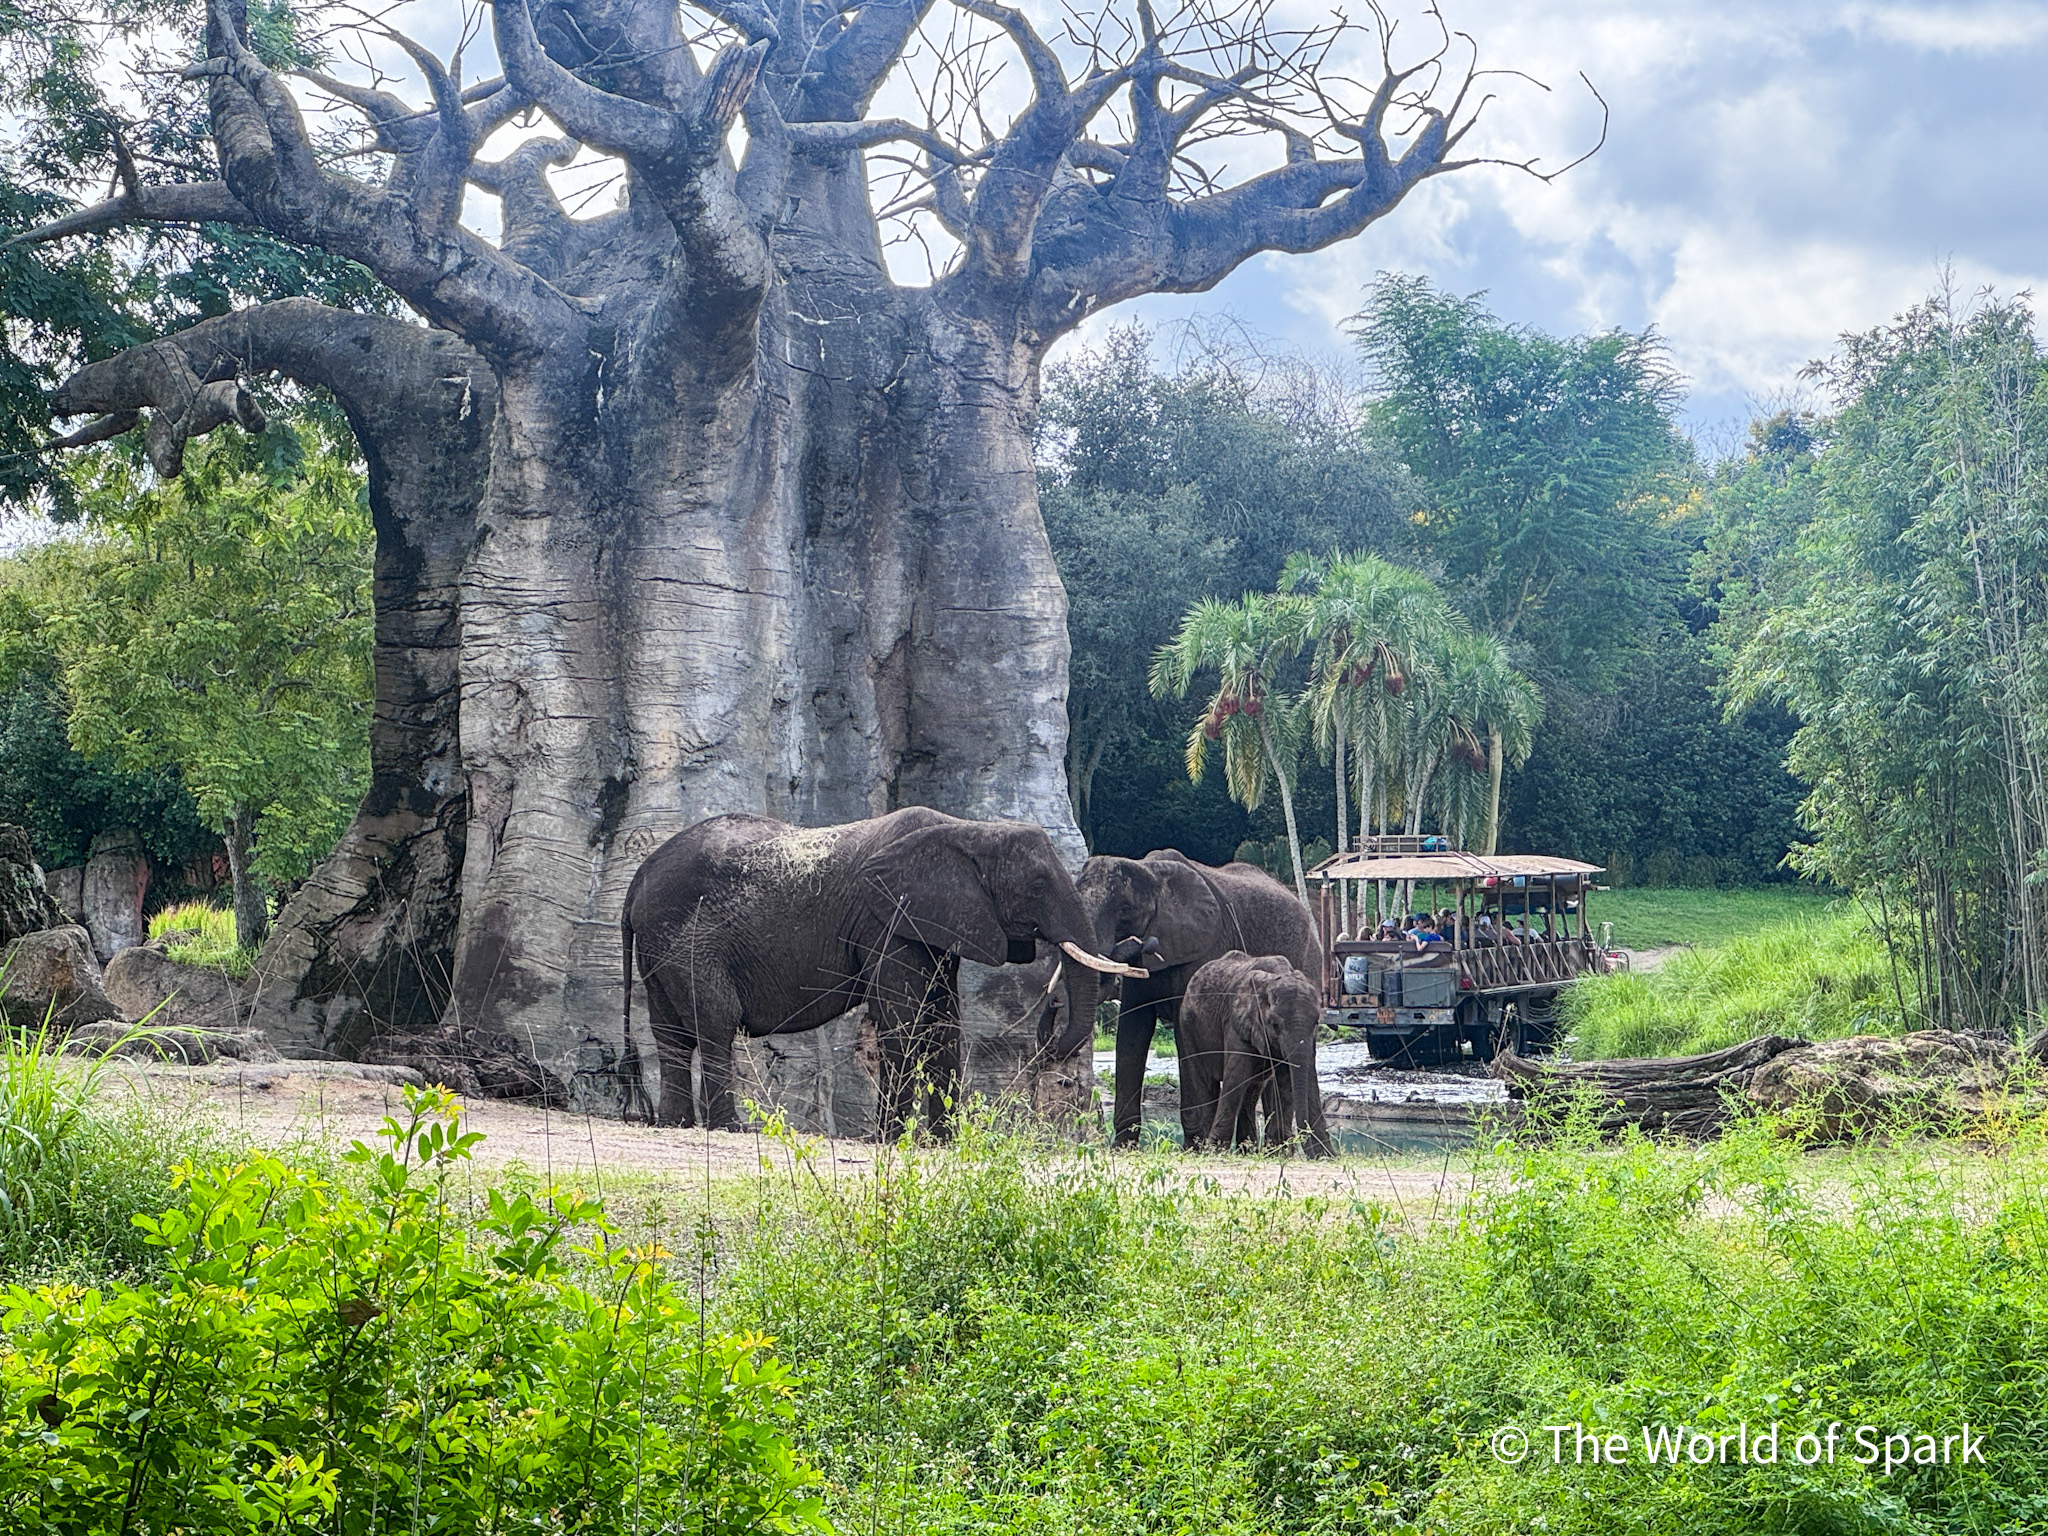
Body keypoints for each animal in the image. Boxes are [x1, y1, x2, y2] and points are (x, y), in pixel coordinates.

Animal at [621, 808, 1146, 1134]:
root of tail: (637, 879)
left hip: (662, 946)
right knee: (714, 1020)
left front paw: (944, 1142)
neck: (968, 828)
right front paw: (892, 1139)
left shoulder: (936, 923)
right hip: (690, 941)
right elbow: (904, 1021)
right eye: (1037, 885)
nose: (1052, 1045)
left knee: (671, 1031)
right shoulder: (889, 919)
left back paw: (676, 1124)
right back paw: (729, 1127)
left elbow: (944, 1023)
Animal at [1078, 850, 1320, 1147]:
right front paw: (1122, 1148)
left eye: (1124, 910)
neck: (1150, 871)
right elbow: (1132, 1030)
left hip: (1309, 962)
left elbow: (1182, 1035)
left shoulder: (1204, 947)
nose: (1145, 943)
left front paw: (1193, 1146)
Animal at [1179, 950, 1335, 1157]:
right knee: (1206, 1085)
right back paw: (1205, 1149)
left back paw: (1248, 1150)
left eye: (1317, 1022)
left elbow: (1286, 1080)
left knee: (1251, 1092)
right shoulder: (1237, 1022)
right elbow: (1236, 1076)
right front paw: (1215, 1151)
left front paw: (1280, 1153)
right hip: (1188, 1026)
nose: (1318, 1155)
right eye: (1275, 1024)